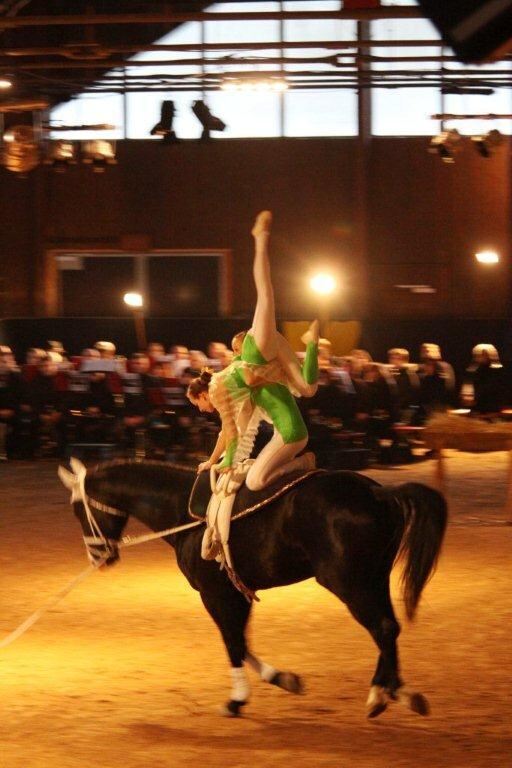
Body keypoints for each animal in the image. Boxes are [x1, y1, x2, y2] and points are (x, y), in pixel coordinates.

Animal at [58, 462, 446, 720]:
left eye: (78, 509)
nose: (99, 557)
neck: (181, 510)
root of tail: (377, 492)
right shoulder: (237, 593)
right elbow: (242, 642)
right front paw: (284, 679)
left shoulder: (215, 594)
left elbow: (233, 642)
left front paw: (236, 699)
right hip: (374, 579)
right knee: (389, 630)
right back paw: (396, 691)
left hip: (349, 583)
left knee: (383, 628)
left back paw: (382, 695)